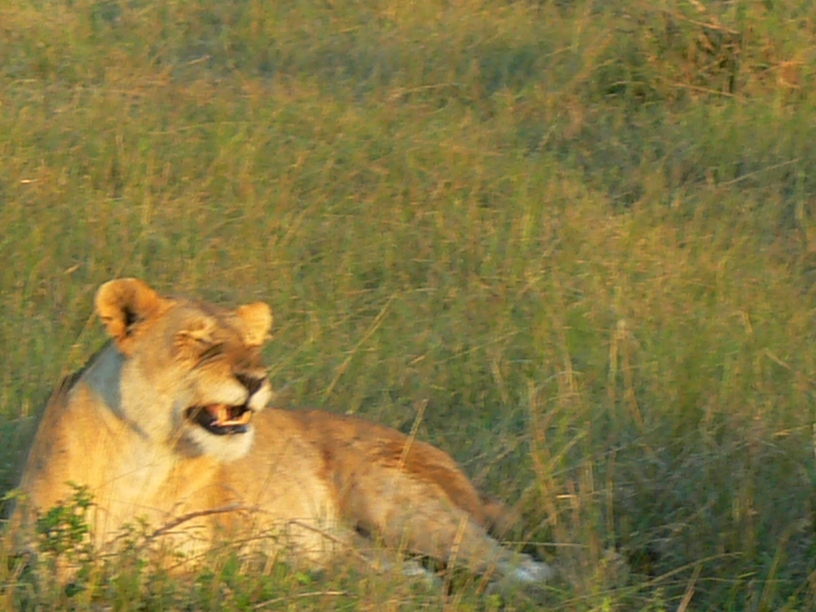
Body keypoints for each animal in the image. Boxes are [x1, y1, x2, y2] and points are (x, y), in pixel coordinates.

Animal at [12, 278, 552, 585]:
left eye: (251, 344)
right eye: (198, 340)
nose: (255, 379)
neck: (146, 457)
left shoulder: (201, 552)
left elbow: (146, 565)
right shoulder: (25, 548)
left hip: (396, 500)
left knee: (518, 565)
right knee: (397, 568)